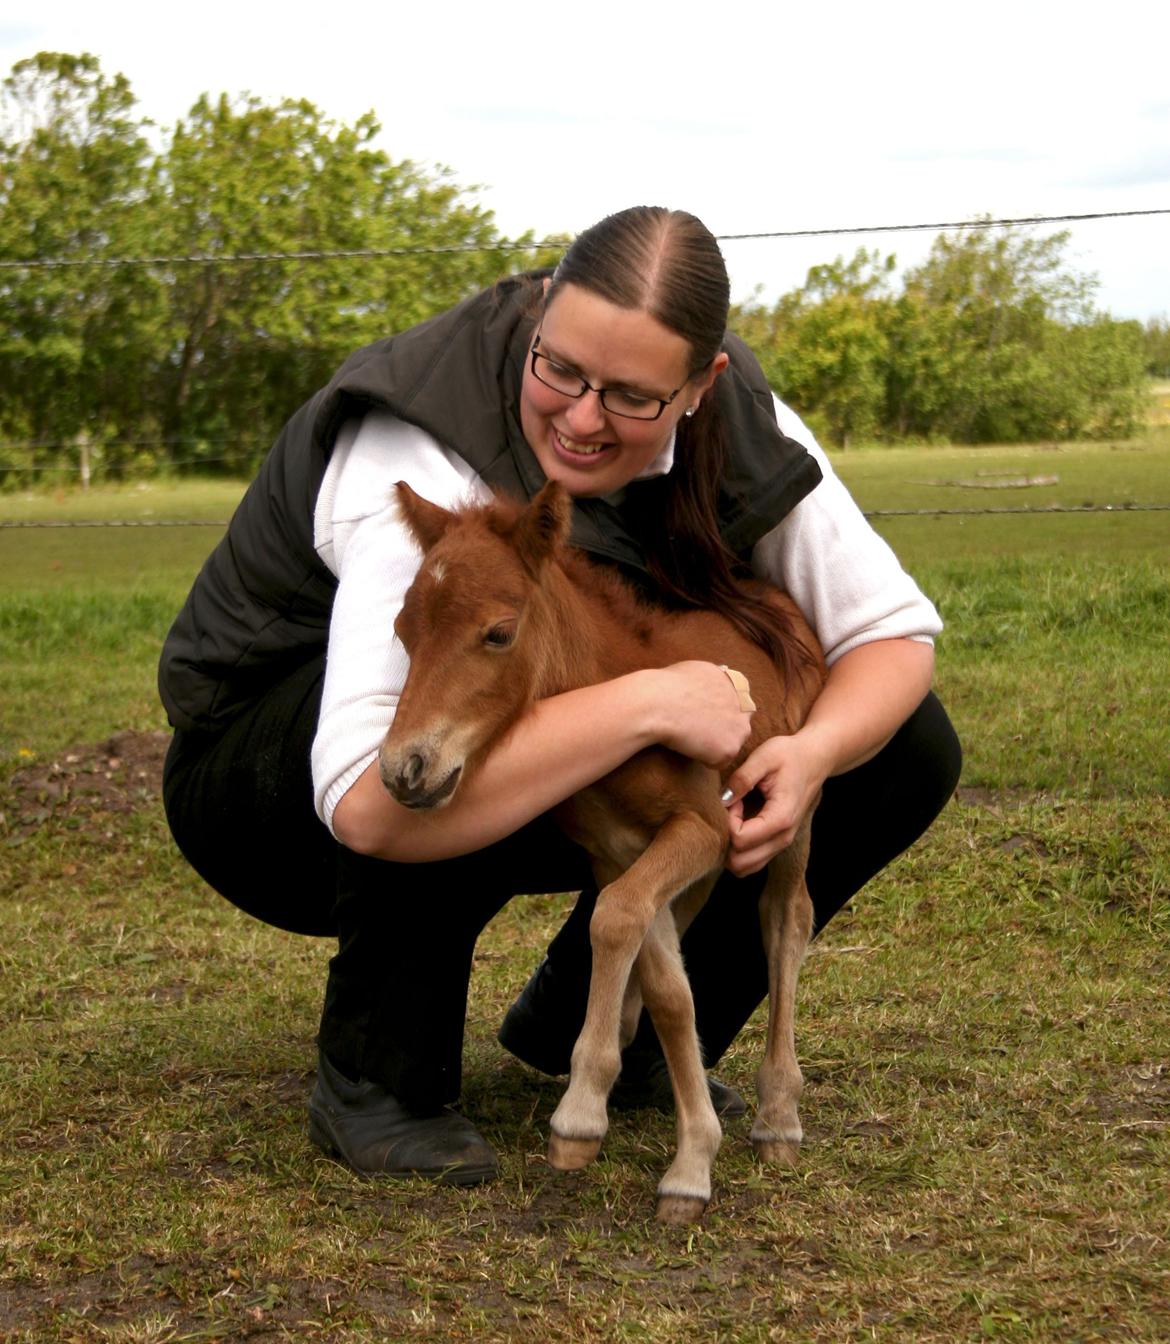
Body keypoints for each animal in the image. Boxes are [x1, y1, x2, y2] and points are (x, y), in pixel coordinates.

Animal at [379, 479, 826, 1222]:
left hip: (794, 809)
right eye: (402, 631)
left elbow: (618, 919)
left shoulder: (704, 828)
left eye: (498, 633)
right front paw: (659, 1140)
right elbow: (661, 974)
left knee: (786, 920)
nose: (403, 770)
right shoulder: (614, 847)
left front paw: (610, 1127)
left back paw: (780, 1116)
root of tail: (776, 599)